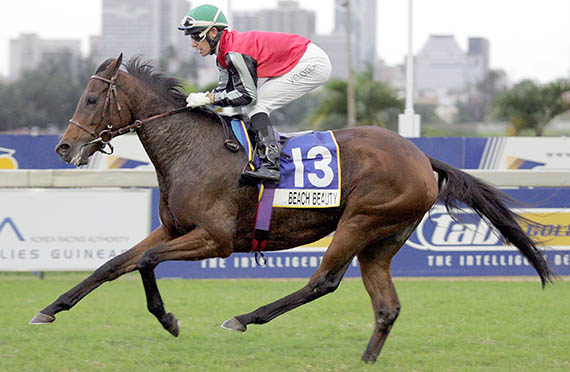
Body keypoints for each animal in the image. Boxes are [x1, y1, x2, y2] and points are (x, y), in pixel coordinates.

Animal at [28, 55, 552, 364]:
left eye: (92, 98)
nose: (63, 147)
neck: (191, 149)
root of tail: (422, 157)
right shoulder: (174, 229)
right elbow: (115, 263)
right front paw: (50, 309)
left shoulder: (215, 239)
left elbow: (147, 263)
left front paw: (168, 319)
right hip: (383, 241)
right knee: (387, 307)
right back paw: (364, 360)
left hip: (361, 220)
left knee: (323, 281)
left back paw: (245, 318)